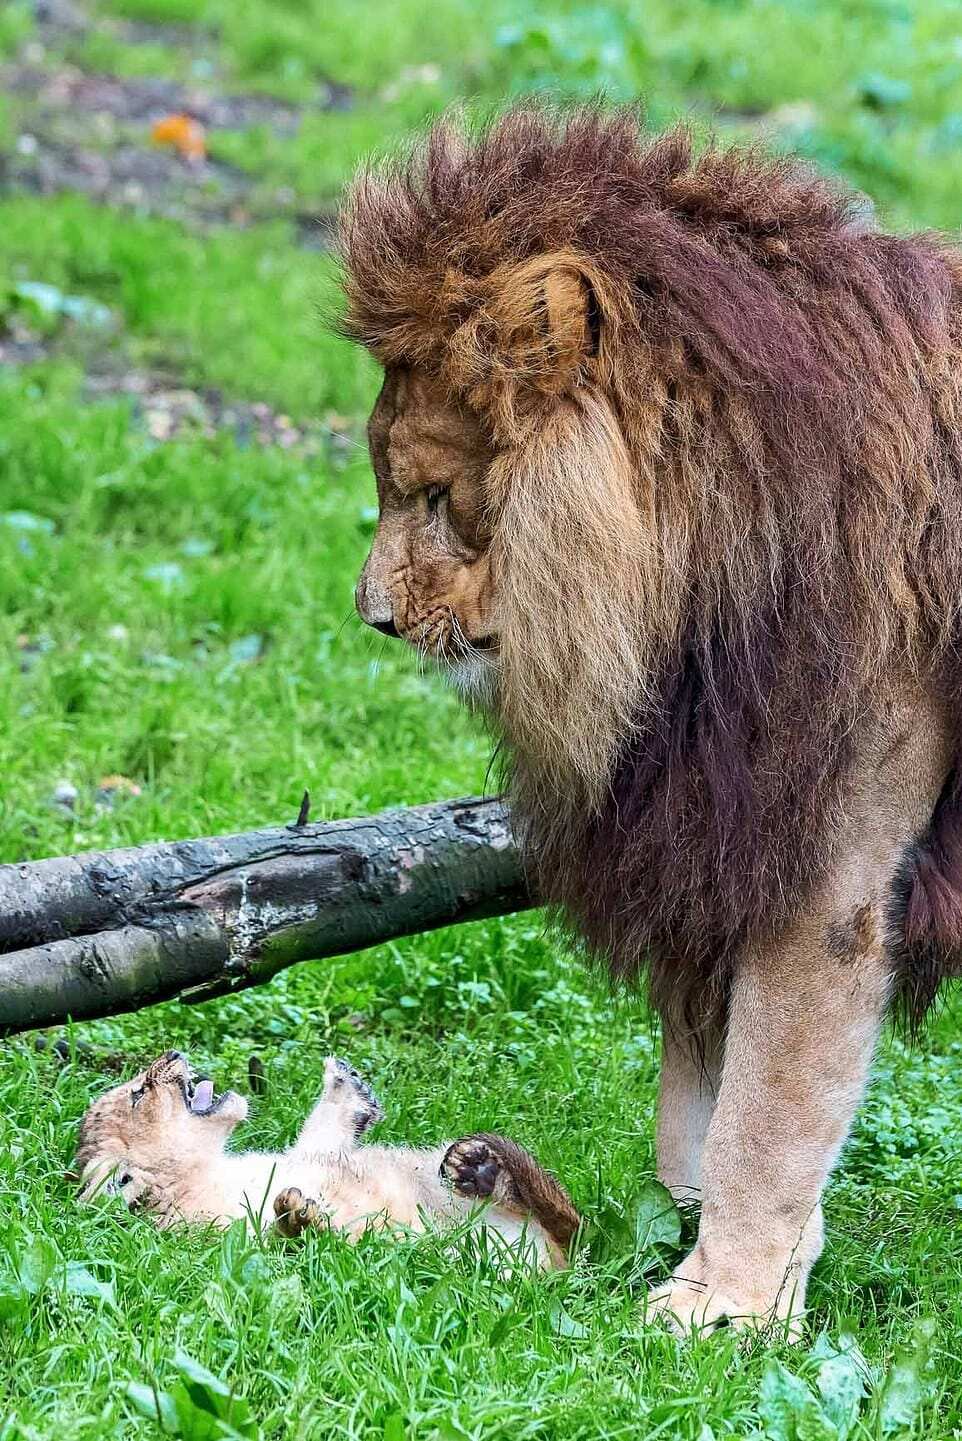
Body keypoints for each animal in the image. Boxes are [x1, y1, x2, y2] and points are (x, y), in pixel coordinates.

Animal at [336, 106, 962, 1331]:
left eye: (432, 495)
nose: (373, 616)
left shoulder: (822, 870)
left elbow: (767, 1110)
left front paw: (718, 1305)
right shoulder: (709, 829)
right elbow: (700, 1086)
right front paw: (694, 1238)